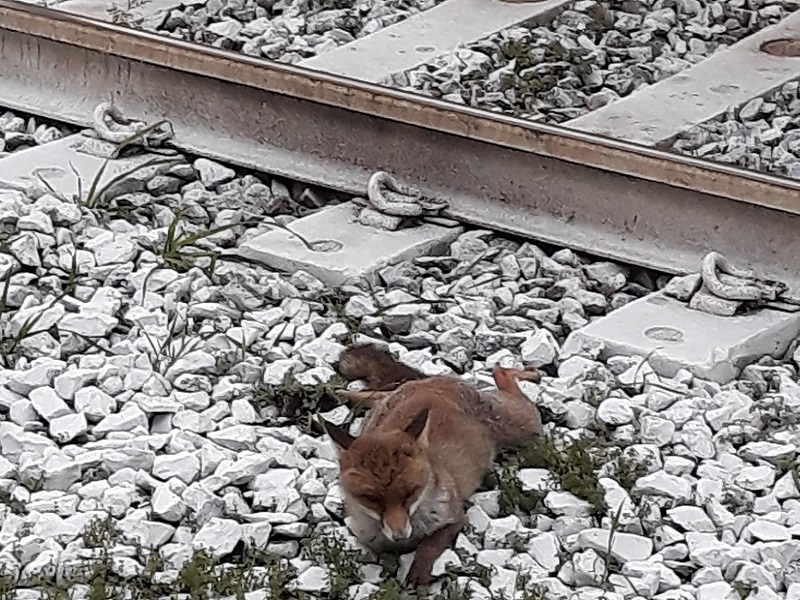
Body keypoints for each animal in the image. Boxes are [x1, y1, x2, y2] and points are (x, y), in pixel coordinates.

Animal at [321, 344, 543, 587]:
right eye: (371, 498)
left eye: (410, 492)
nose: (400, 535)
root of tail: (439, 382)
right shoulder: (367, 537)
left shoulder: (454, 517)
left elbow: (429, 546)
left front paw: (417, 575)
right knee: (375, 395)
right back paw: (339, 394)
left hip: (525, 428)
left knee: (503, 375)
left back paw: (524, 372)